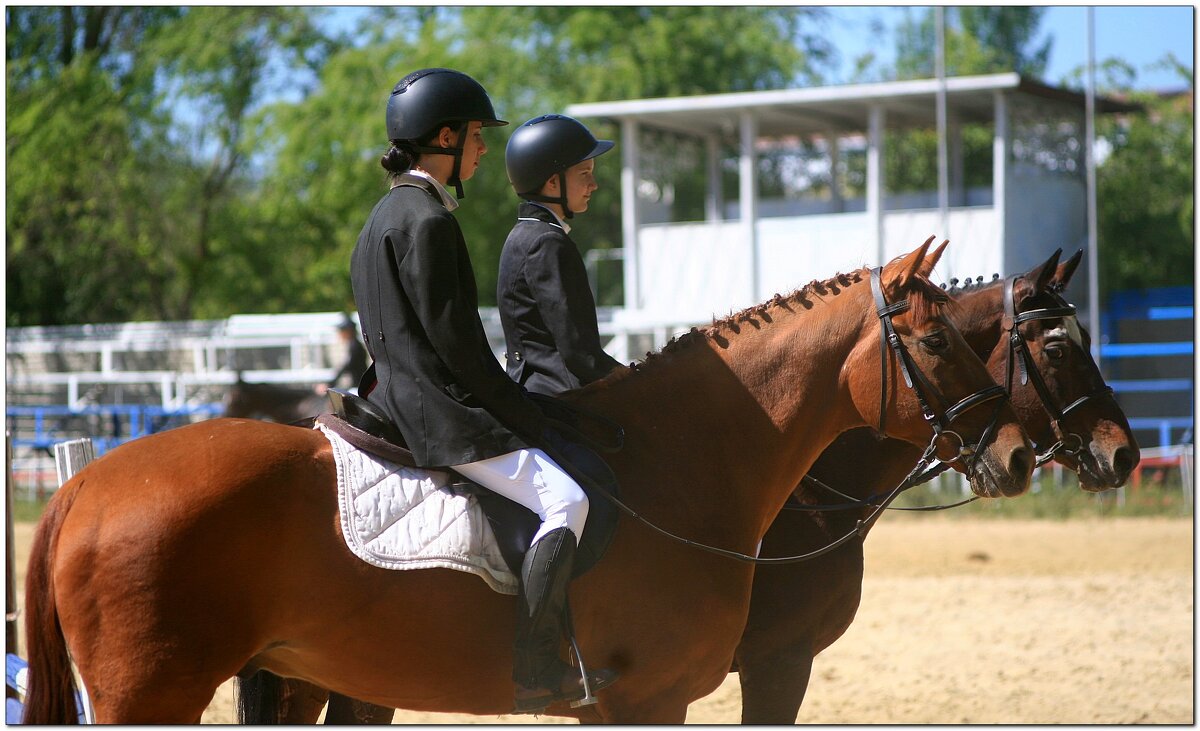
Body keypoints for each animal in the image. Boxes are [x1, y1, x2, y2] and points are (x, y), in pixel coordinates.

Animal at [21, 242, 1032, 720]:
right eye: (935, 342)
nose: (1019, 452)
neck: (684, 460)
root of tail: (83, 485)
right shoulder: (660, 697)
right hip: (153, 693)